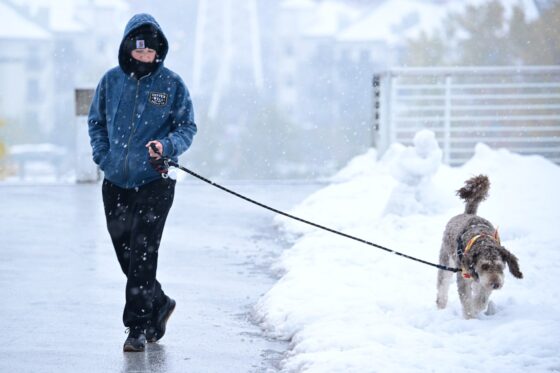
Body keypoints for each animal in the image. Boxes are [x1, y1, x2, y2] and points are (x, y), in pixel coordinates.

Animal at [436, 174, 524, 316]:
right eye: (484, 266)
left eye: (500, 266)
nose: (496, 284)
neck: (483, 240)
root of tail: (468, 213)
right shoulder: (464, 277)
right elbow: (466, 300)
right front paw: (470, 316)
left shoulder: (484, 281)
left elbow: (481, 298)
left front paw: (477, 307)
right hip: (446, 261)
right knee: (442, 285)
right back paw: (441, 306)